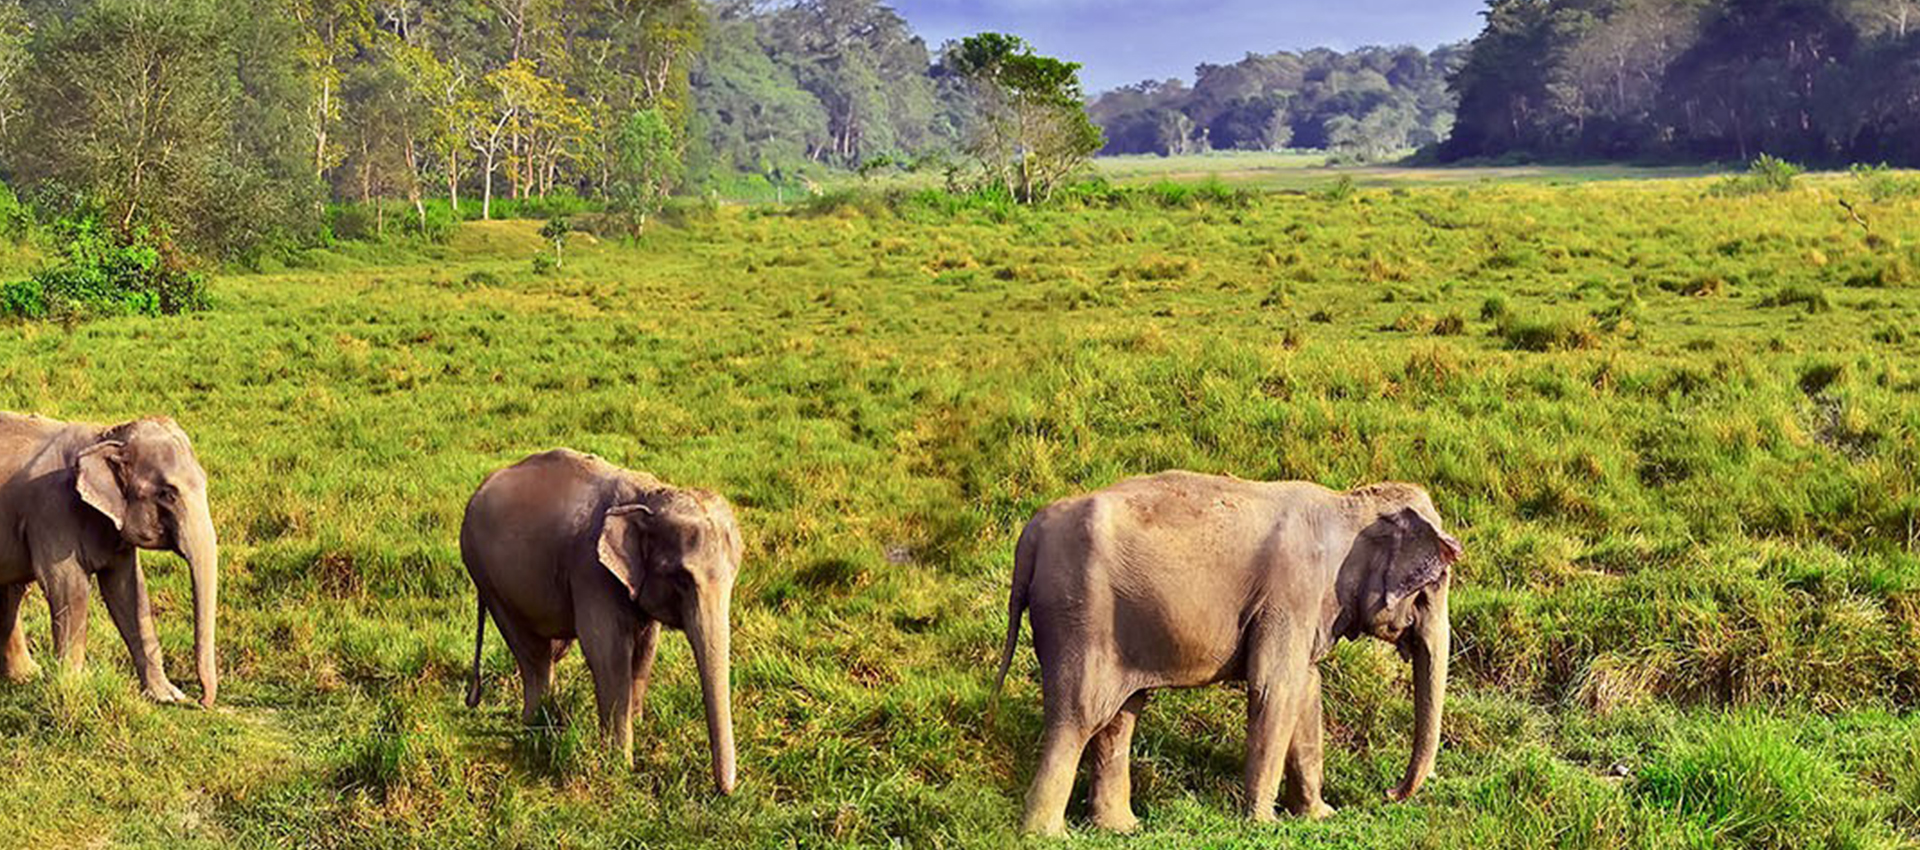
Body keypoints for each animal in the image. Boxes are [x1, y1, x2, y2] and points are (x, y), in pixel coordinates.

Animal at [0, 416, 220, 709]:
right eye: (167, 494)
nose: (201, 701)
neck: (103, 437)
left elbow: (129, 591)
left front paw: (167, 696)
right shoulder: (51, 512)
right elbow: (68, 587)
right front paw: (74, 689)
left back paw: (27, 676)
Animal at [456, 448, 741, 794]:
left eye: (734, 576)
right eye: (682, 578)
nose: (723, 790)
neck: (648, 495)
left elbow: (646, 649)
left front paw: (638, 724)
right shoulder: (591, 569)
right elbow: (609, 652)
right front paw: (621, 765)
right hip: (486, 575)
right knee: (531, 651)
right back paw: (537, 724)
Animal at [998, 472, 1459, 840]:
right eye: (1433, 586)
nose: (1389, 793)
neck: (1346, 503)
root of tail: (1033, 531)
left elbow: (1306, 689)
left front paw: (1319, 816)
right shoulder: (1292, 593)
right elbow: (1275, 688)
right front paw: (1263, 823)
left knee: (1119, 717)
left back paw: (1121, 828)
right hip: (1079, 612)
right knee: (1081, 714)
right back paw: (1046, 835)